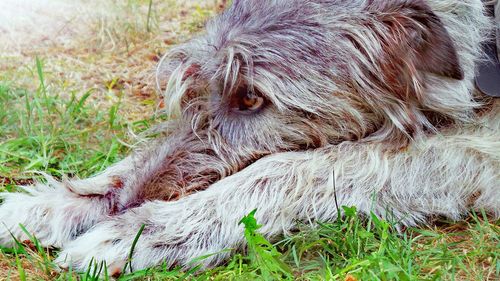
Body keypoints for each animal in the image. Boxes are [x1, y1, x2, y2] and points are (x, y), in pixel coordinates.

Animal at [0, 0, 500, 276]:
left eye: (252, 98)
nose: (129, 205)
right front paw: (56, 203)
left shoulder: (482, 153)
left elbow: (298, 167)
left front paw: (144, 231)